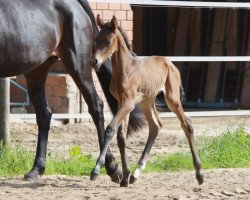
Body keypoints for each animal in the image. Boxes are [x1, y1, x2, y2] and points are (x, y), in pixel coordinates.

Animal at [0, 0, 145, 181]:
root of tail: (75, 4)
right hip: (37, 70)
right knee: (44, 114)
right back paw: (37, 169)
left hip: (78, 65)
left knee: (96, 107)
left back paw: (110, 168)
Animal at [90, 15, 203, 188]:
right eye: (96, 40)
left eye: (108, 41)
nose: (94, 62)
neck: (125, 69)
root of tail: (170, 63)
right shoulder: (121, 102)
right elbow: (121, 137)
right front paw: (125, 178)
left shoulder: (128, 103)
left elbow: (110, 129)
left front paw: (96, 170)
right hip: (147, 101)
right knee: (156, 126)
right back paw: (136, 174)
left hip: (172, 99)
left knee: (187, 124)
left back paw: (200, 174)